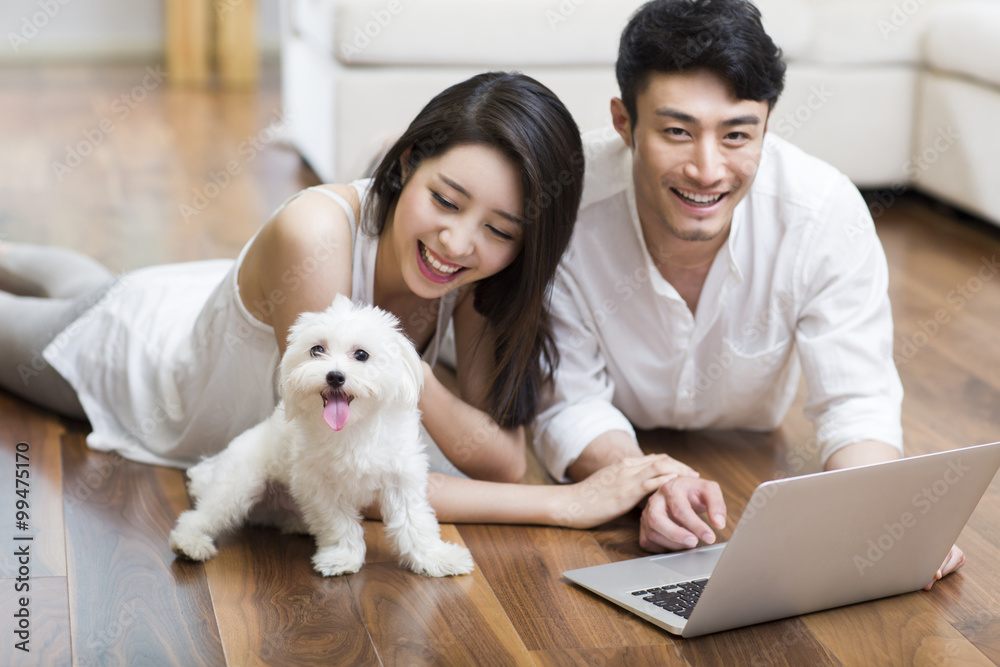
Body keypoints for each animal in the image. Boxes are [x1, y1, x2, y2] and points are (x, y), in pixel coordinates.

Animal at [167, 294, 472, 576]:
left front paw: (435, 558)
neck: (353, 429)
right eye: (316, 350)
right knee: (202, 516)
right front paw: (343, 557)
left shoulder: (401, 478)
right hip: (239, 486)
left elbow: (414, 522)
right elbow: (338, 523)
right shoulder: (319, 486)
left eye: (362, 355)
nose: (335, 376)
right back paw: (189, 543)